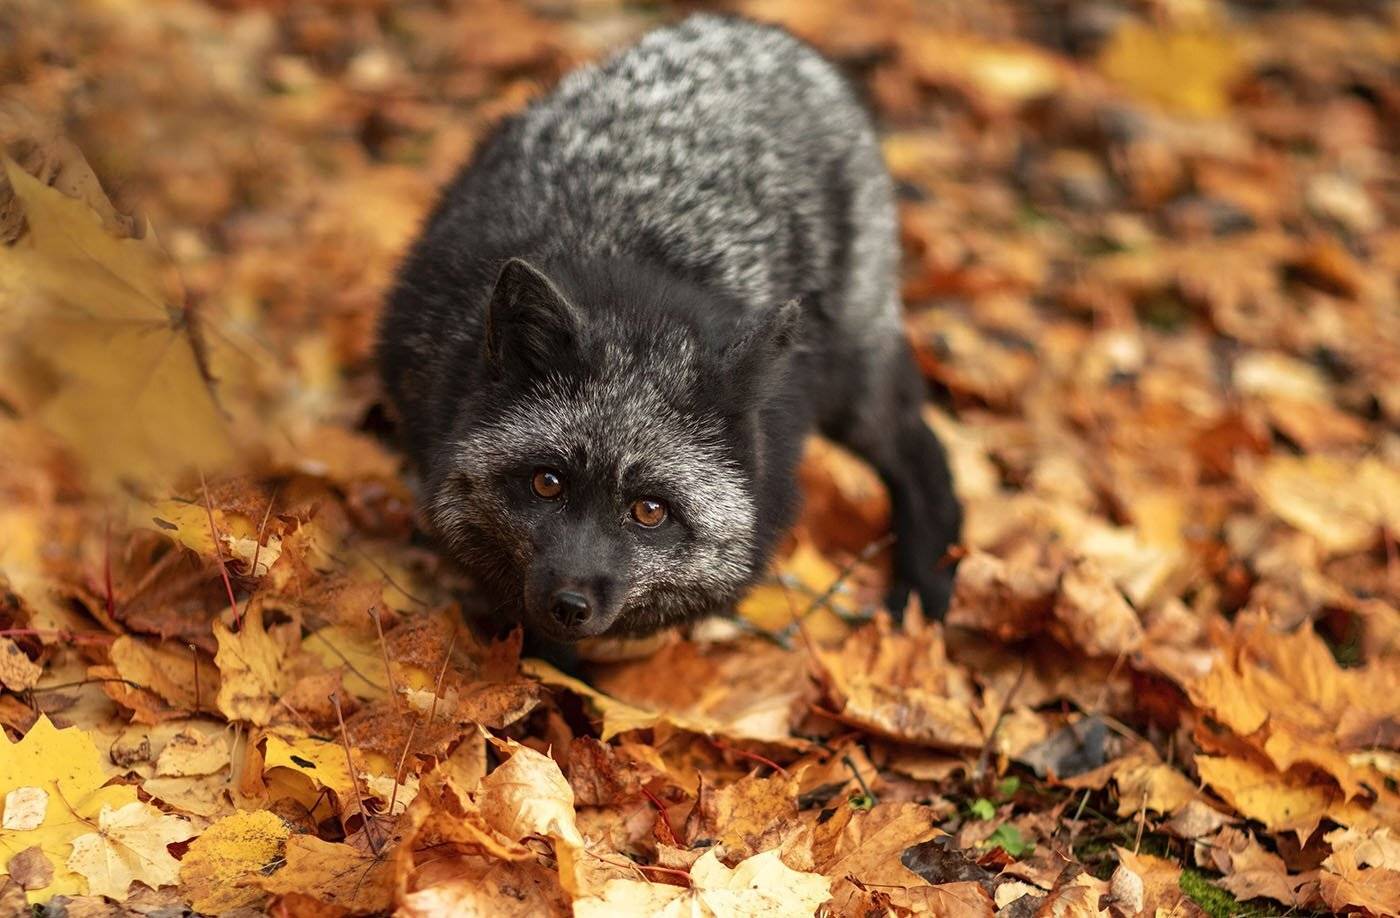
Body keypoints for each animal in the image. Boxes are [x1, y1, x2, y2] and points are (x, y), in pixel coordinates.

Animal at [376, 14, 961, 645]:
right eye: (546, 482)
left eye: (650, 511)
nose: (568, 605)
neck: (633, 270)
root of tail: (758, 32)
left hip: (852, 385)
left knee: (920, 446)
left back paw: (926, 590)